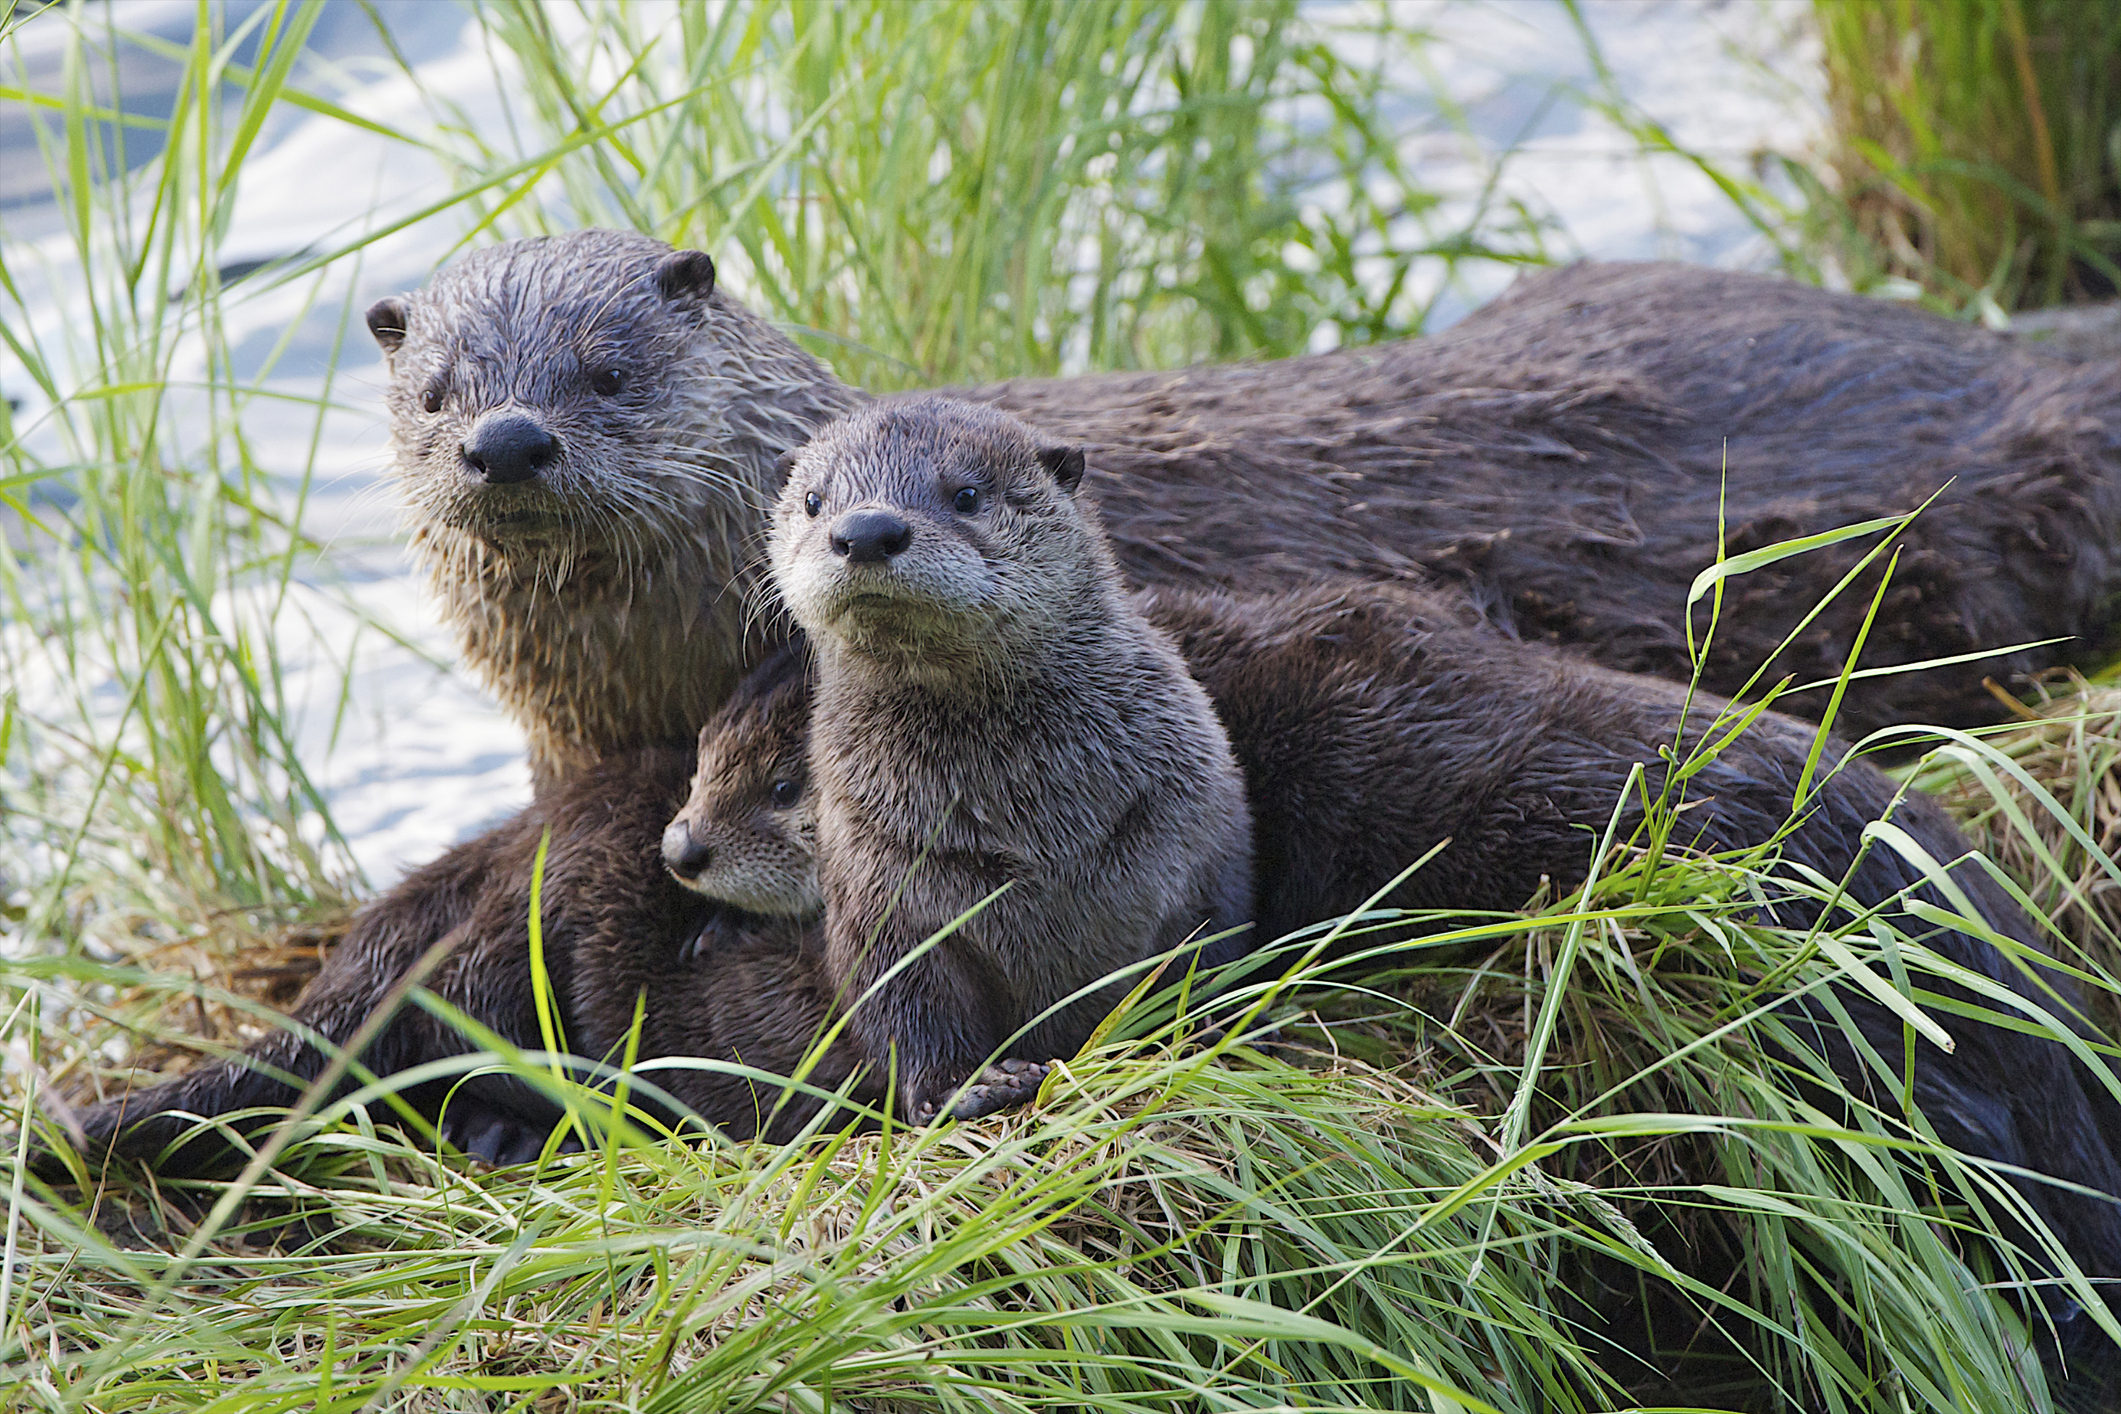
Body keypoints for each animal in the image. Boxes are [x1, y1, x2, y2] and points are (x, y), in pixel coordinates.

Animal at [772, 400, 1247, 1127]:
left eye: (967, 495)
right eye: (814, 500)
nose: (866, 530)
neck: (1032, 830)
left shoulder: (1197, 839)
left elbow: (1207, 954)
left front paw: (1197, 1044)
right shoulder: (878, 886)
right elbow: (907, 1006)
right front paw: (968, 1088)